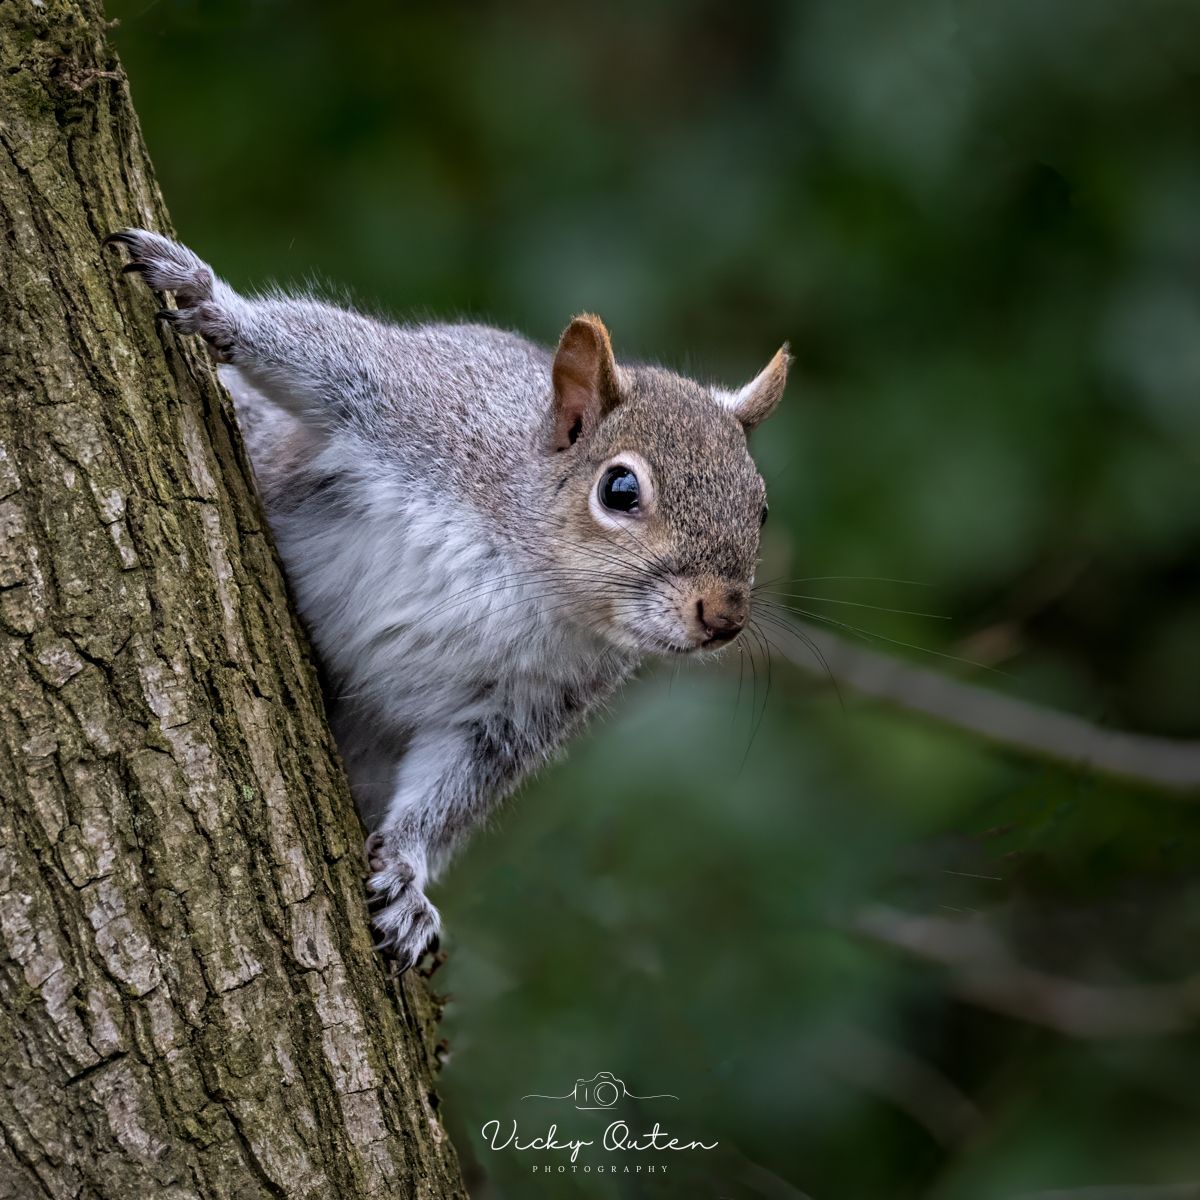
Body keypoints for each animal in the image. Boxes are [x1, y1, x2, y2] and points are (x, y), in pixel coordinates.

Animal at [108, 229, 787, 969]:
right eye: (620, 490)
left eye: (761, 508)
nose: (724, 618)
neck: (529, 579)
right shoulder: (421, 402)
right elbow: (323, 351)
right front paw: (206, 297)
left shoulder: (519, 708)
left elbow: (454, 790)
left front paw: (407, 877)